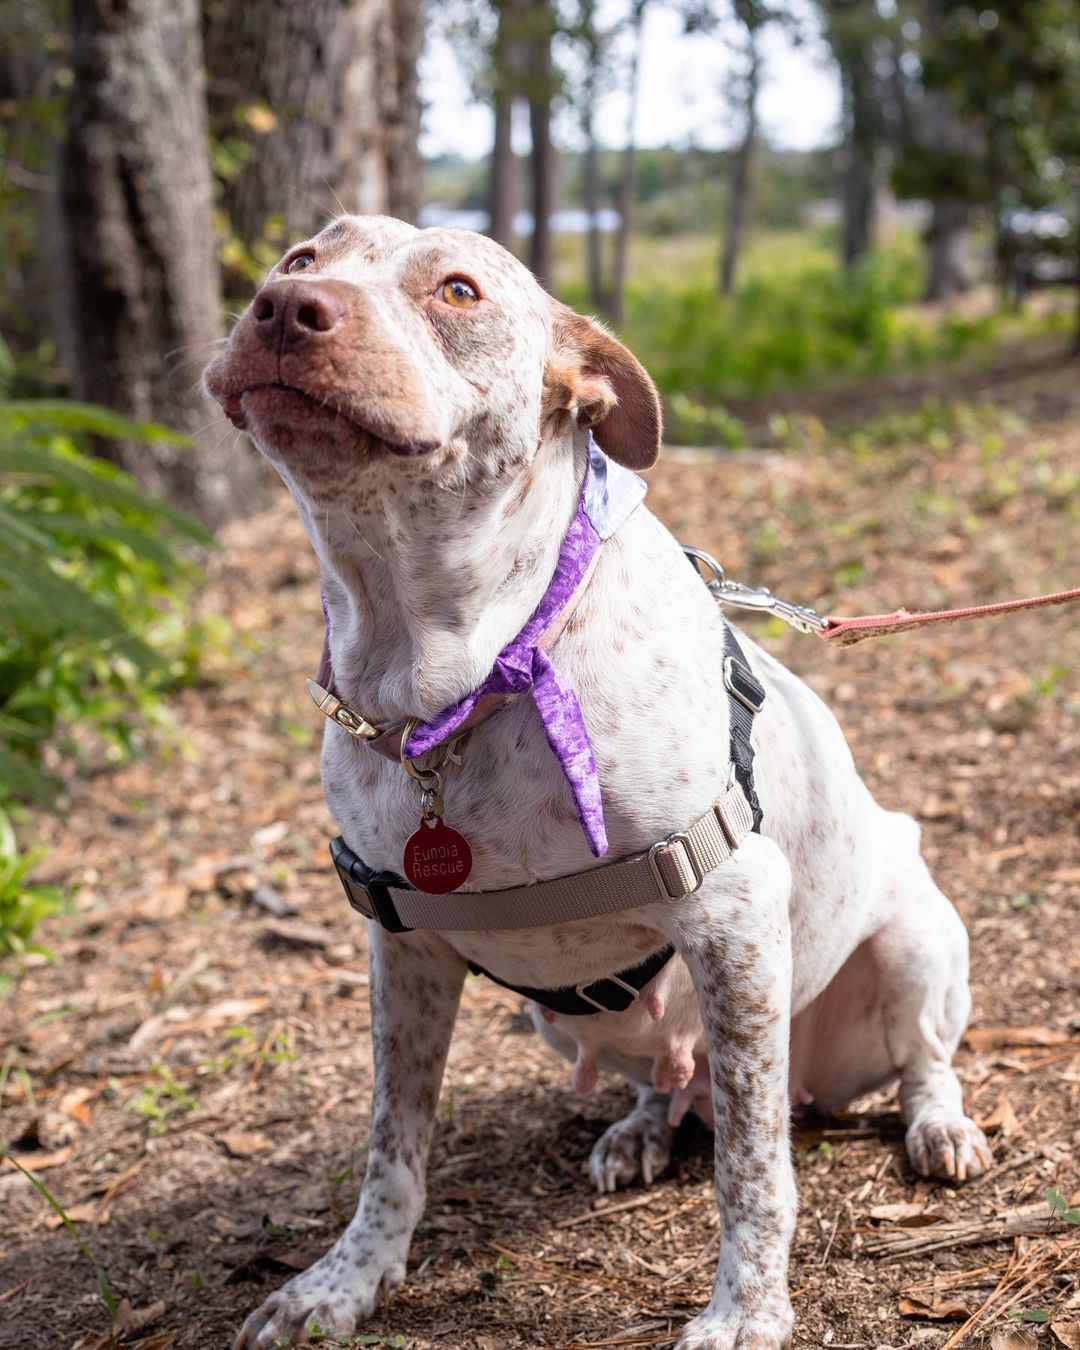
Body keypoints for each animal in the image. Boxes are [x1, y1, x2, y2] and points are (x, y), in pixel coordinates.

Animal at [202, 210, 988, 1350]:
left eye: (459, 290)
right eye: (304, 257)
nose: (281, 308)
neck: (457, 675)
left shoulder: (732, 914)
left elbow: (753, 1172)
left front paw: (747, 1309)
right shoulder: (405, 953)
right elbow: (393, 1148)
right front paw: (344, 1282)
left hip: (915, 942)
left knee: (908, 1061)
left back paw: (939, 1125)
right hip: (565, 1018)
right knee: (671, 1078)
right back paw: (640, 1129)